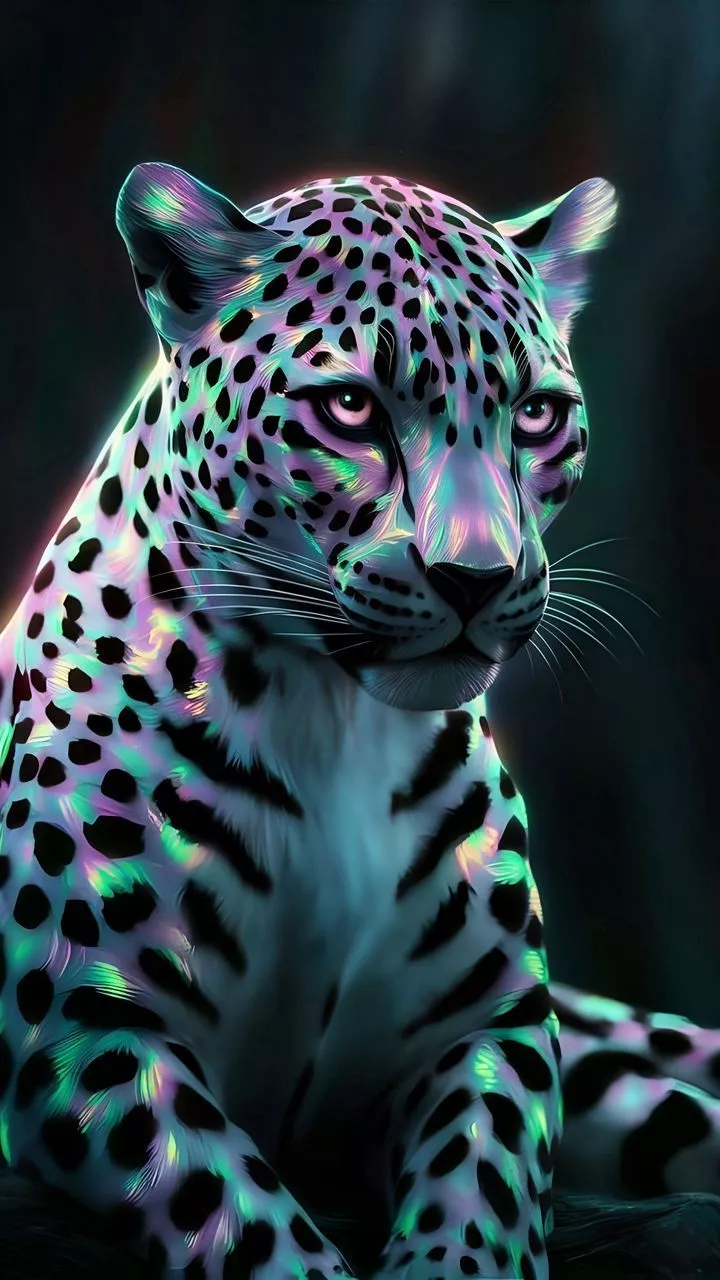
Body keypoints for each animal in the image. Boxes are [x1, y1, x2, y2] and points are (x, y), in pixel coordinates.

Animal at [1, 160, 719, 1280]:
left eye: (538, 415)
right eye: (349, 406)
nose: (476, 577)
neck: (329, 717)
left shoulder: (494, 1028)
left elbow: (484, 1193)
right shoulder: (91, 1032)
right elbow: (249, 1221)